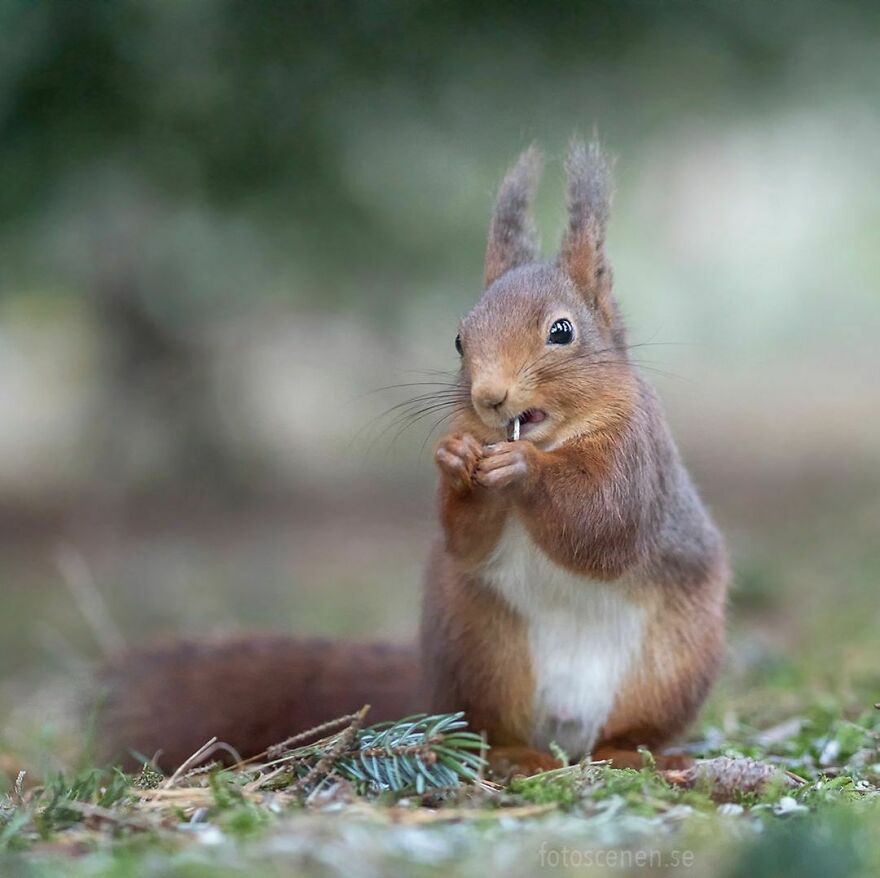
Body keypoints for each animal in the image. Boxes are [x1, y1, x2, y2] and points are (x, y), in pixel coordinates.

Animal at [97, 141, 728, 776]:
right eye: (459, 340)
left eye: (562, 331)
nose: (489, 397)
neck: (553, 437)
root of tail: (565, 737)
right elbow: (466, 539)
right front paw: (457, 460)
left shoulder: (637, 454)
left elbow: (606, 522)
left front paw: (523, 470)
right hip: (481, 652)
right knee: (487, 729)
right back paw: (515, 757)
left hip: (672, 664)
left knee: (631, 730)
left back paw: (634, 753)